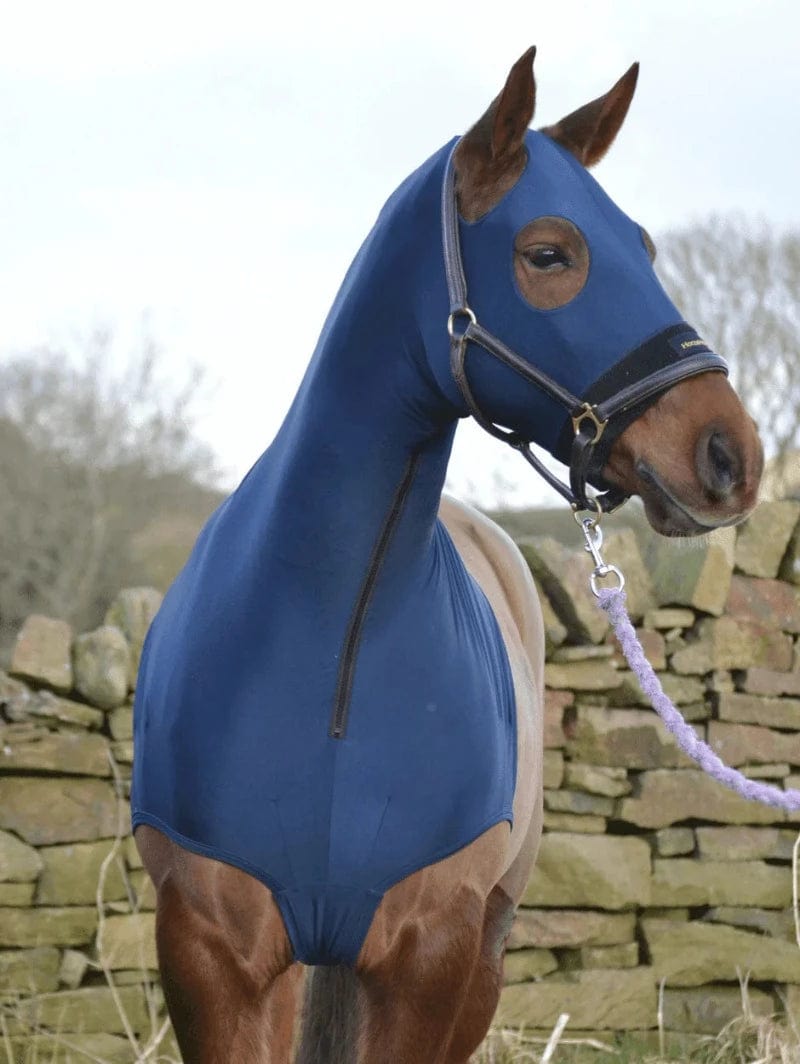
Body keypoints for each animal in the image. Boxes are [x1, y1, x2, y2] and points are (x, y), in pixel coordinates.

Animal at [132, 48, 763, 1063]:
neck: (338, 637)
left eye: (647, 249)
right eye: (548, 253)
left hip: (486, 955)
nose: (730, 457)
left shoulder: (433, 955)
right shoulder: (211, 957)